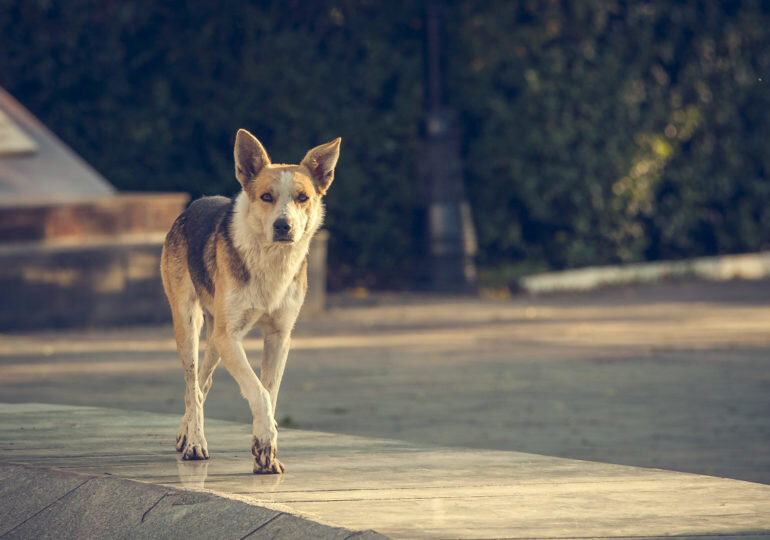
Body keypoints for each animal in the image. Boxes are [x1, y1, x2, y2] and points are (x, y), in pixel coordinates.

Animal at [161, 130, 340, 472]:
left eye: (302, 197)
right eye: (266, 197)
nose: (283, 226)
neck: (271, 260)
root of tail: (194, 205)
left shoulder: (278, 336)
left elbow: (269, 391)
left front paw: (265, 447)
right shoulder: (229, 337)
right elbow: (258, 391)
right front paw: (266, 438)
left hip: (214, 338)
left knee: (201, 385)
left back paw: (185, 433)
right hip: (188, 324)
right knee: (193, 386)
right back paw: (195, 443)